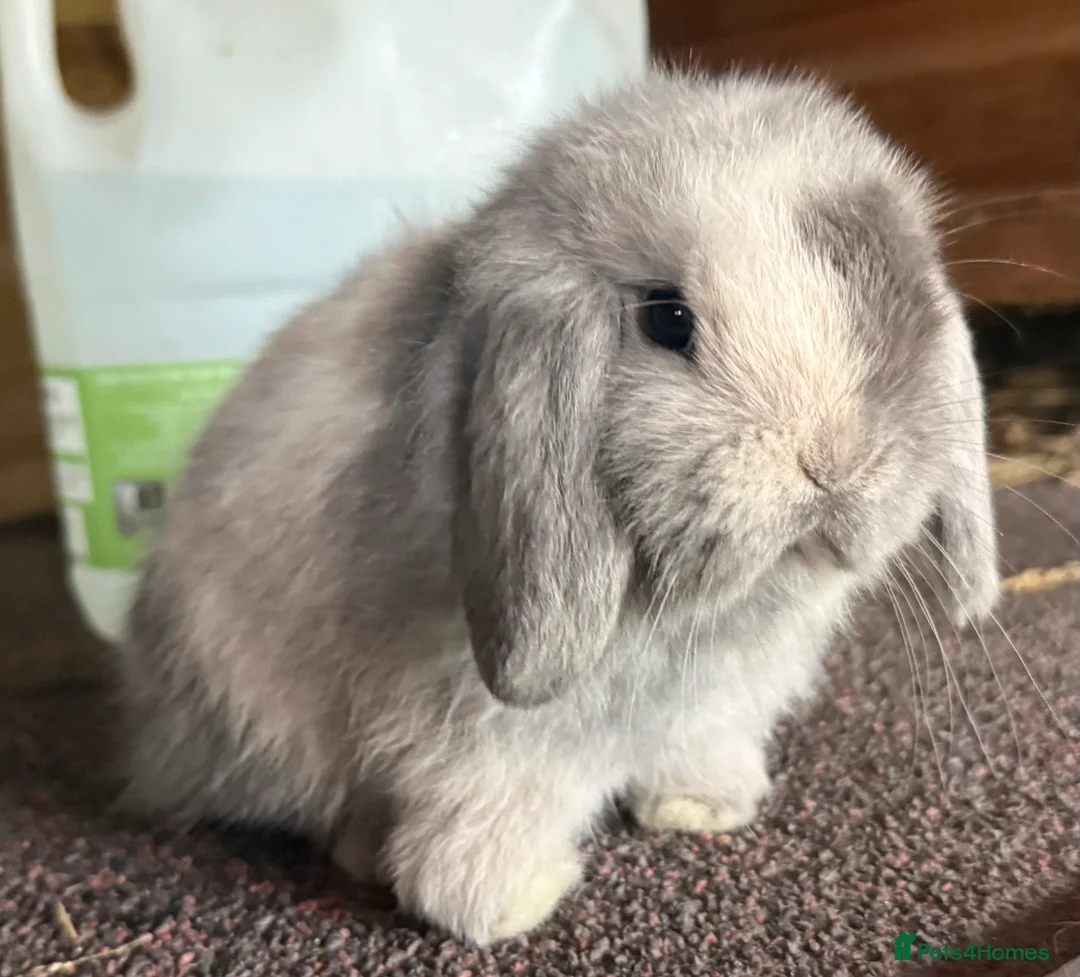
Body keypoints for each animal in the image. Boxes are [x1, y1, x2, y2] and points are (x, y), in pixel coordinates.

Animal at [115, 68, 1000, 946]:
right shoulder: (471, 723)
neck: (692, 619)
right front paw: (506, 900)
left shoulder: (713, 701)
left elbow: (699, 744)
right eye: (665, 319)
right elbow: (489, 799)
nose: (832, 463)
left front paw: (706, 806)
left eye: (894, 302)